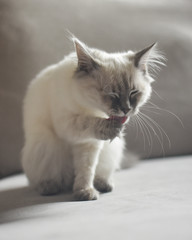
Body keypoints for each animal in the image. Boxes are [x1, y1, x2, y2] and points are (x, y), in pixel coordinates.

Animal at [21, 36, 164, 201]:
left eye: (133, 93)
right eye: (112, 94)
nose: (126, 109)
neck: (91, 107)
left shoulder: (89, 143)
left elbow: (86, 169)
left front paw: (84, 191)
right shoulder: (68, 124)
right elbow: (86, 122)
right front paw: (84, 193)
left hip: (111, 149)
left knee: (97, 174)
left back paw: (104, 184)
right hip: (45, 144)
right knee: (47, 179)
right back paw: (49, 187)